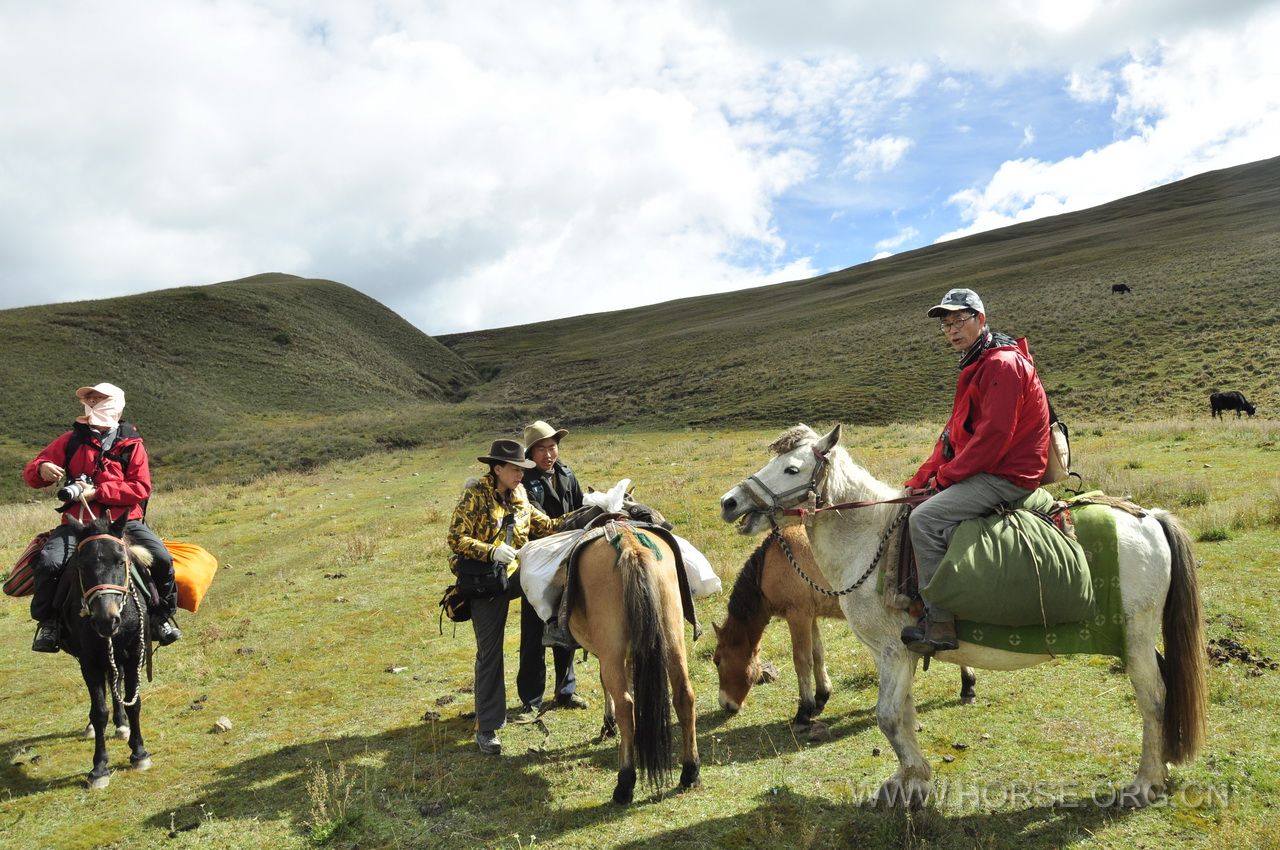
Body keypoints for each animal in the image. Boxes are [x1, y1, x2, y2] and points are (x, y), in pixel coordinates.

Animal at [57, 512, 153, 788]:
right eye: (80, 566)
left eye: (120, 561)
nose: (105, 620)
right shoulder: (88, 661)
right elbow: (99, 711)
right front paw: (99, 768)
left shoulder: (134, 655)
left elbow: (134, 702)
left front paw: (139, 753)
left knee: (116, 681)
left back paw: (122, 725)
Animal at [570, 524, 701, 803]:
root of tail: (631, 547)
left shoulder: (609, 654)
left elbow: (605, 683)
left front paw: (608, 725)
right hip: (672, 638)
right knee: (684, 695)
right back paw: (690, 771)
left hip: (612, 650)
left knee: (625, 705)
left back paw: (625, 783)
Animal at [711, 527, 977, 727]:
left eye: (717, 661)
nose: (725, 704)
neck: (772, 562)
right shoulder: (810, 616)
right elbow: (817, 654)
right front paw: (821, 696)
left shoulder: (797, 616)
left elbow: (802, 660)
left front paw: (804, 711)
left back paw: (967, 686)